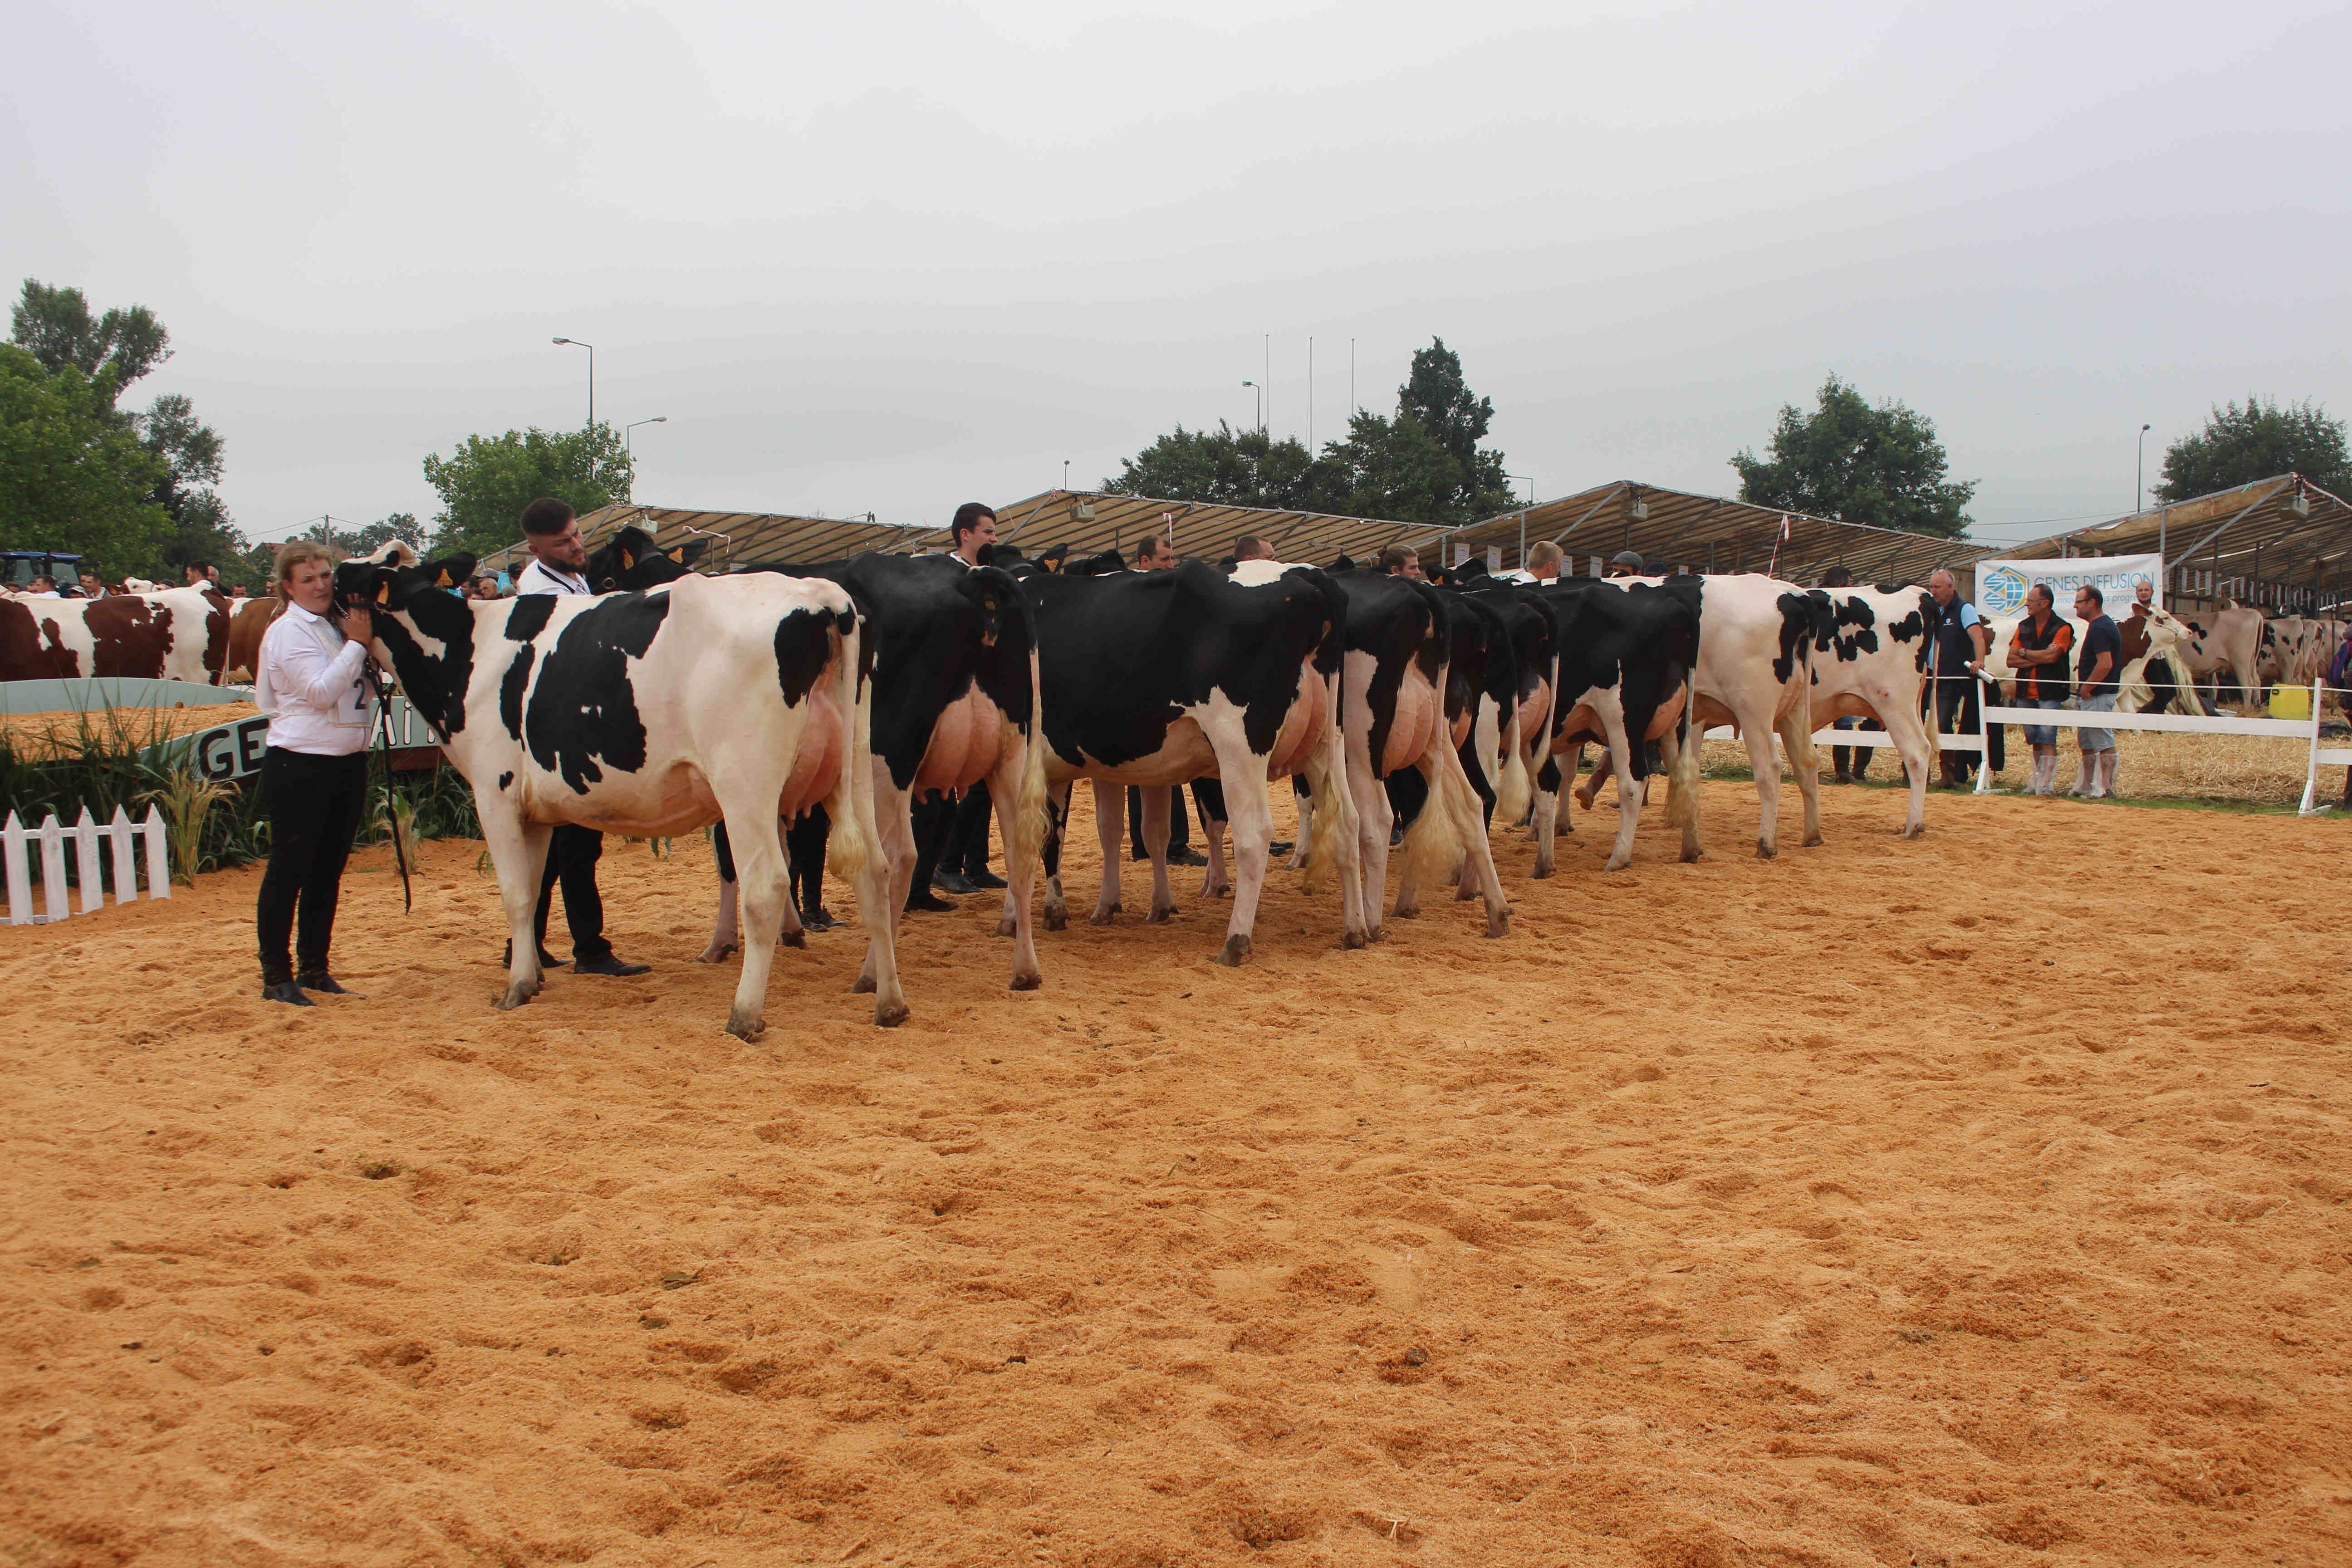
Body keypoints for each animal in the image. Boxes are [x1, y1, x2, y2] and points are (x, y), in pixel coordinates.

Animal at [336, 552, 903, 1044]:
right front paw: (531, 976)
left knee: (765, 886)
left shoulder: (494, 791)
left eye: (347, 579)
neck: (467, 650)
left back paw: (744, 1016)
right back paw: (889, 1003)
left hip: (745, 785)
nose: (322, 591)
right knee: (875, 872)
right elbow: (533, 892)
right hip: (854, 770)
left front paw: (515, 988)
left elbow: (515, 894)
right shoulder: (534, 812)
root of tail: (821, 595)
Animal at [588, 526, 1049, 992]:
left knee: (899, 856)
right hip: (1011, 751)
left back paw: (873, 973)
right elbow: (782, 848)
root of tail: (968, 576)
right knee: (1019, 849)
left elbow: (731, 860)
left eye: (606, 579)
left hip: (885, 760)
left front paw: (722, 943)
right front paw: (790, 929)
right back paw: (1024, 967)